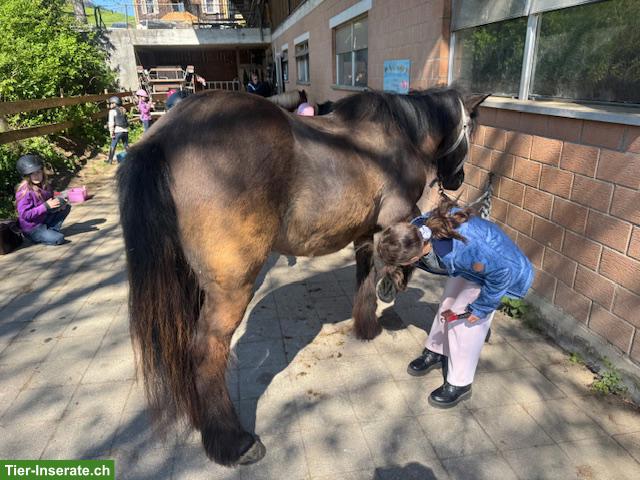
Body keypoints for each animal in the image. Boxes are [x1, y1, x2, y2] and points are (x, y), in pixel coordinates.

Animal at [117, 87, 489, 467]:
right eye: (470, 129)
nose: (457, 179)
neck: (398, 136)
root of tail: (163, 137)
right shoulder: (398, 216)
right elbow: (407, 248)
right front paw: (392, 283)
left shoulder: (364, 230)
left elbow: (365, 274)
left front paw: (367, 325)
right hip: (230, 288)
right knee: (206, 350)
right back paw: (233, 442)